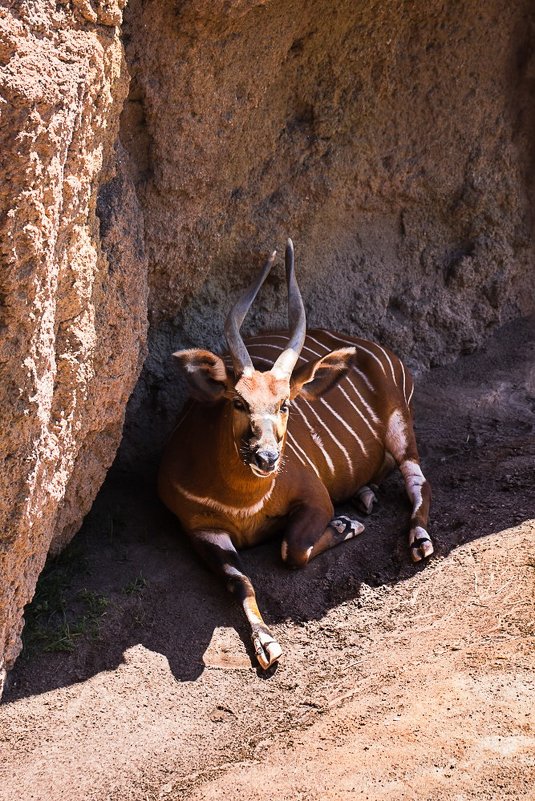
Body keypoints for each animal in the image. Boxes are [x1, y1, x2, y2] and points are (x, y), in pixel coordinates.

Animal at [157, 239, 434, 668]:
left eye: (285, 404)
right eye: (238, 402)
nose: (267, 458)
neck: (243, 503)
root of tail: (377, 349)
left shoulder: (315, 497)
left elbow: (293, 550)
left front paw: (345, 526)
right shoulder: (200, 529)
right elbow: (240, 581)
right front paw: (265, 642)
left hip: (400, 425)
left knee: (417, 478)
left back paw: (419, 538)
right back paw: (366, 497)